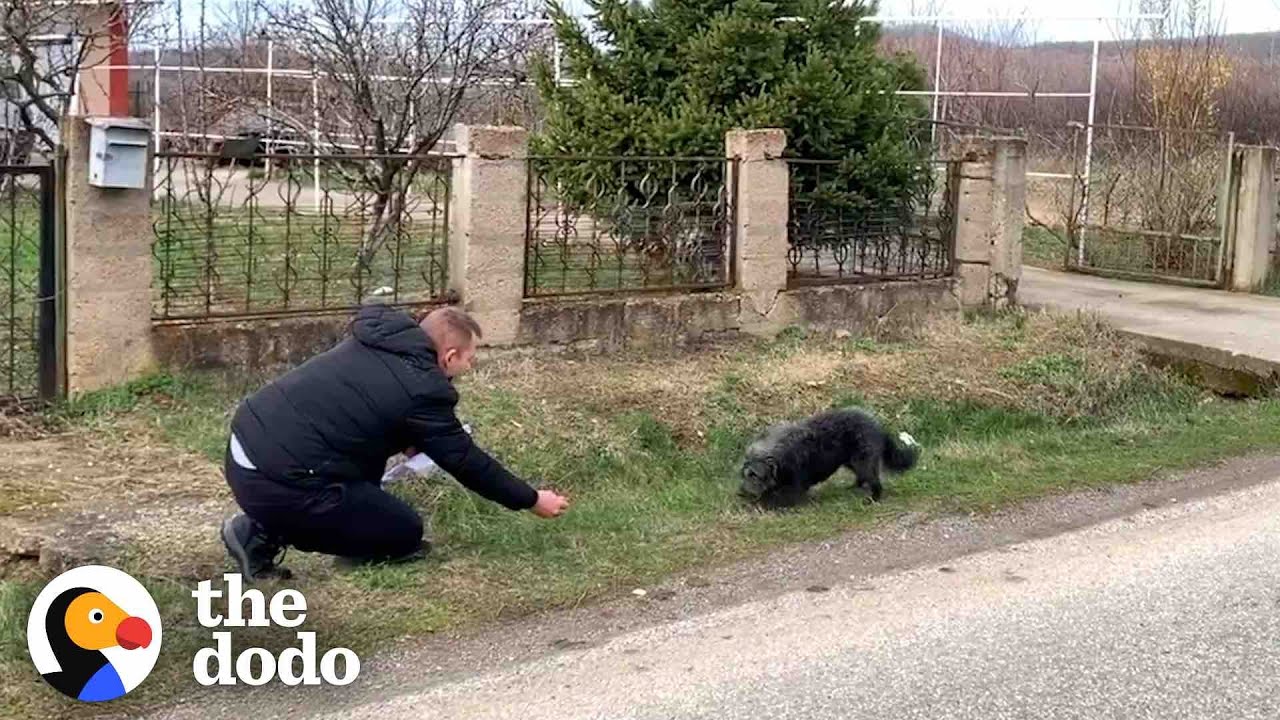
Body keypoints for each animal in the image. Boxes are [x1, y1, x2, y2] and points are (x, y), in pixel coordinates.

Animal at [742, 407, 921, 507]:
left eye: (753, 475)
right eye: (744, 474)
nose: (740, 493)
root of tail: (877, 425)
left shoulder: (794, 480)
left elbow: (785, 494)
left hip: (863, 459)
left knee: (874, 480)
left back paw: (873, 498)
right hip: (852, 461)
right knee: (862, 476)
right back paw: (855, 487)